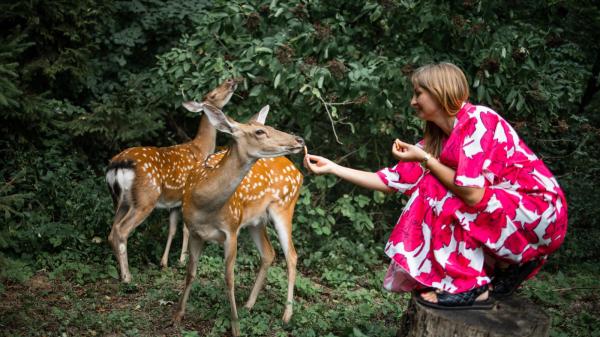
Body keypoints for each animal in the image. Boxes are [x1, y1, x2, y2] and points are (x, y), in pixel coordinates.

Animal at [105, 78, 237, 280]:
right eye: (213, 94)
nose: (231, 81)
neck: (201, 148)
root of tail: (117, 165)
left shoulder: (174, 202)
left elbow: (172, 229)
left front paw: (164, 262)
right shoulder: (188, 195)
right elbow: (186, 228)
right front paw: (182, 260)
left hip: (120, 201)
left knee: (112, 232)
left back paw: (121, 272)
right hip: (145, 198)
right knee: (122, 230)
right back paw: (127, 277)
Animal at [172, 103, 304, 336]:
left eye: (270, 127)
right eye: (260, 131)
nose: (299, 140)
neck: (203, 203)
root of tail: (299, 173)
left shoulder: (232, 229)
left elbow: (229, 278)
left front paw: (235, 326)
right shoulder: (195, 231)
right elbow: (190, 272)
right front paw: (178, 315)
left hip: (284, 207)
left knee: (292, 256)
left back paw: (286, 315)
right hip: (256, 221)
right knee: (269, 253)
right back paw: (249, 305)